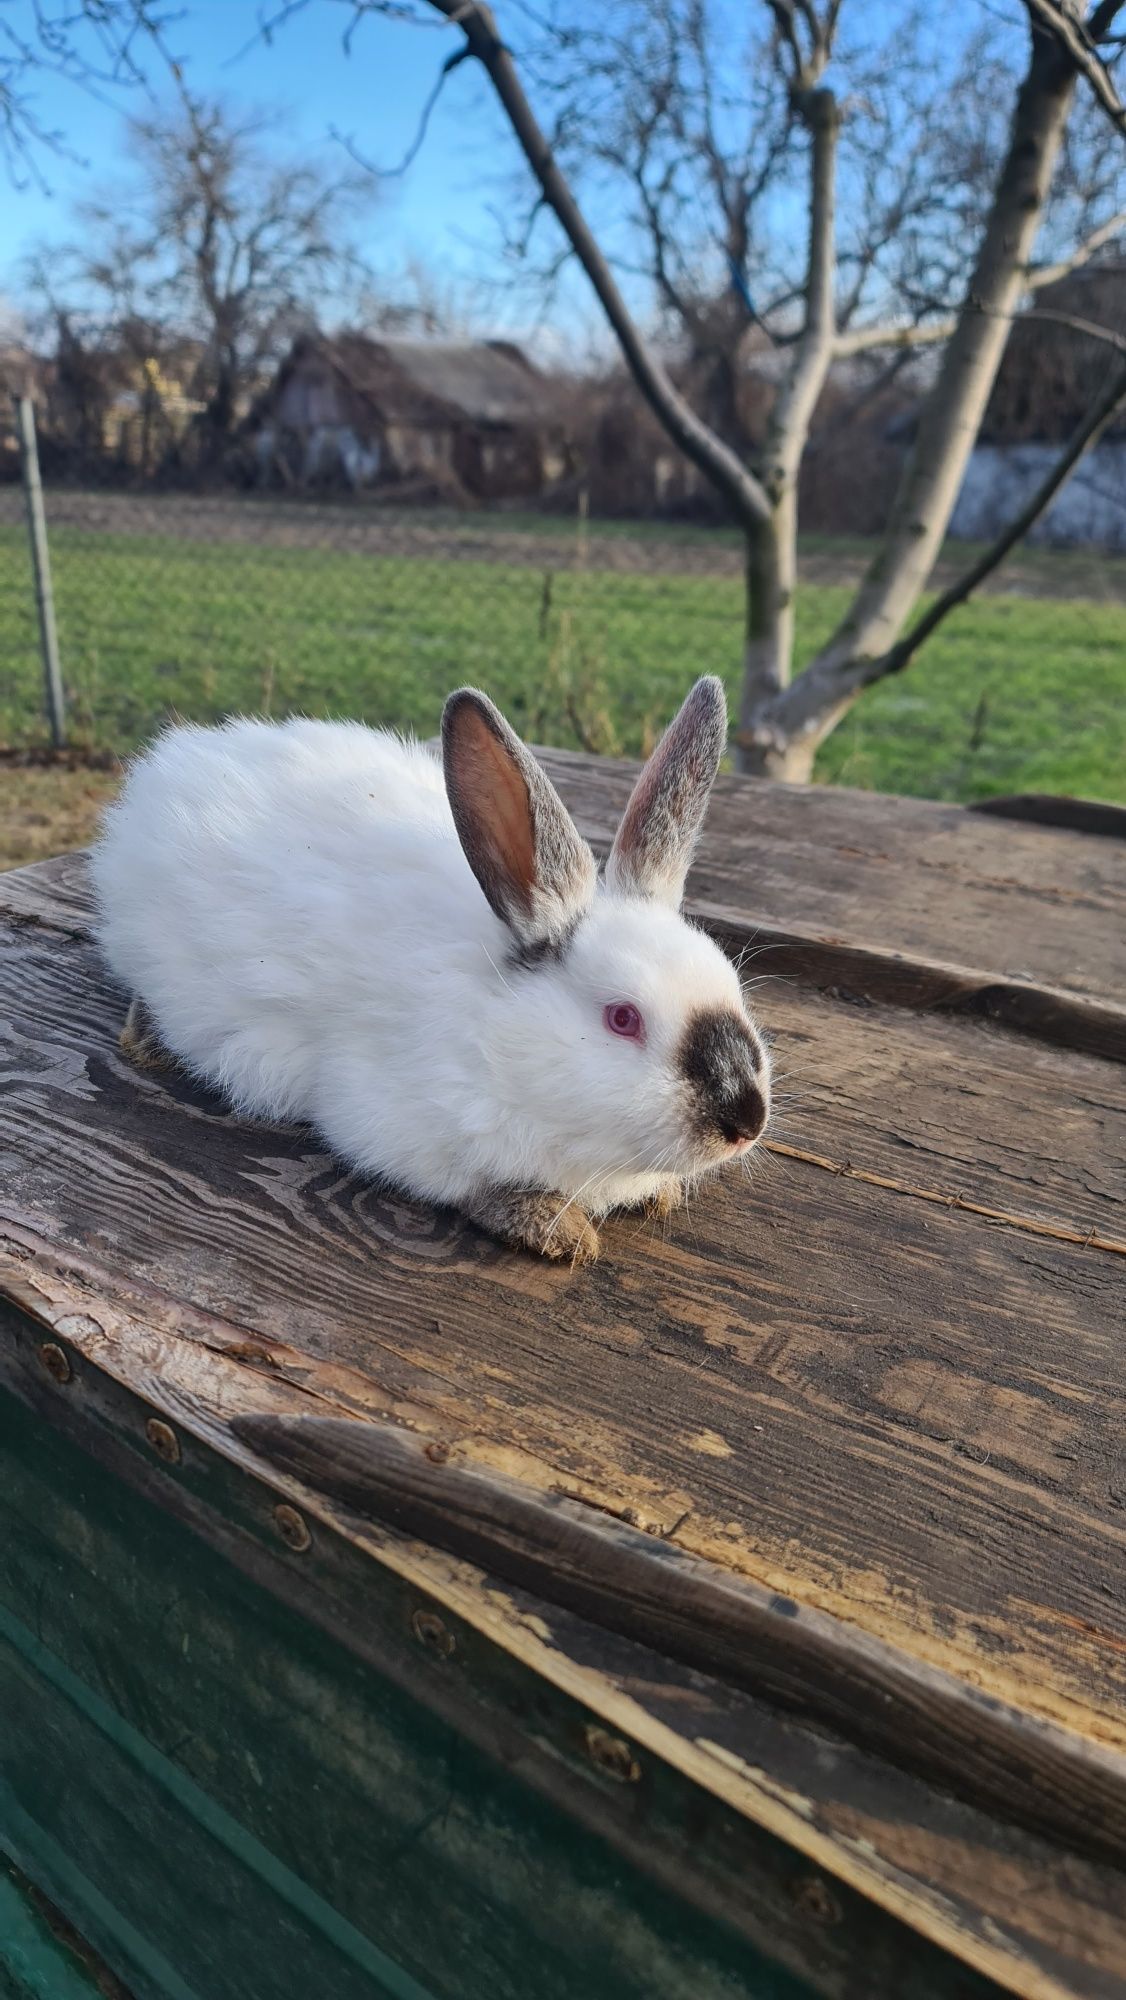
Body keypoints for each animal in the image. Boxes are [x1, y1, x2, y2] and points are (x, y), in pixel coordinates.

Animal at [92, 680, 772, 1256]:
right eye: (623, 1019)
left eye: (731, 986)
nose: (746, 1121)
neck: (501, 1037)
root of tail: (176, 759)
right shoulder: (393, 1124)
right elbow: (472, 1186)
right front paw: (555, 1228)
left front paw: (660, 1193)